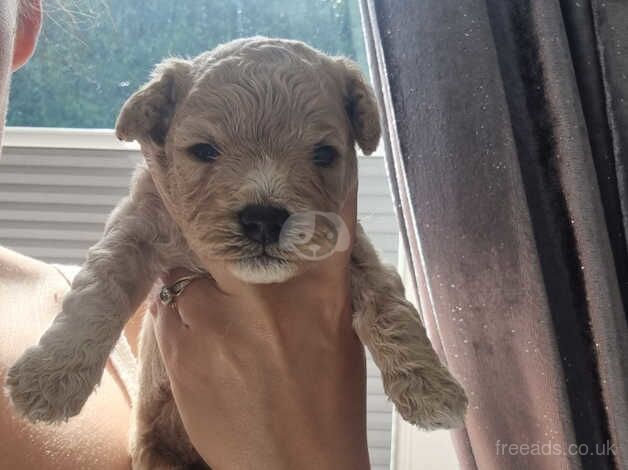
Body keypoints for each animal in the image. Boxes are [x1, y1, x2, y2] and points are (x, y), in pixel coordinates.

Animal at [4, 37, 466, 470]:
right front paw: (50, 378)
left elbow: (388, 302)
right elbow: (96, 293)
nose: (264, 219)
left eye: (323, 154)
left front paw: (430, 386)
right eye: (204, 150)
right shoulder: (136, 226)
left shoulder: (349, 244)